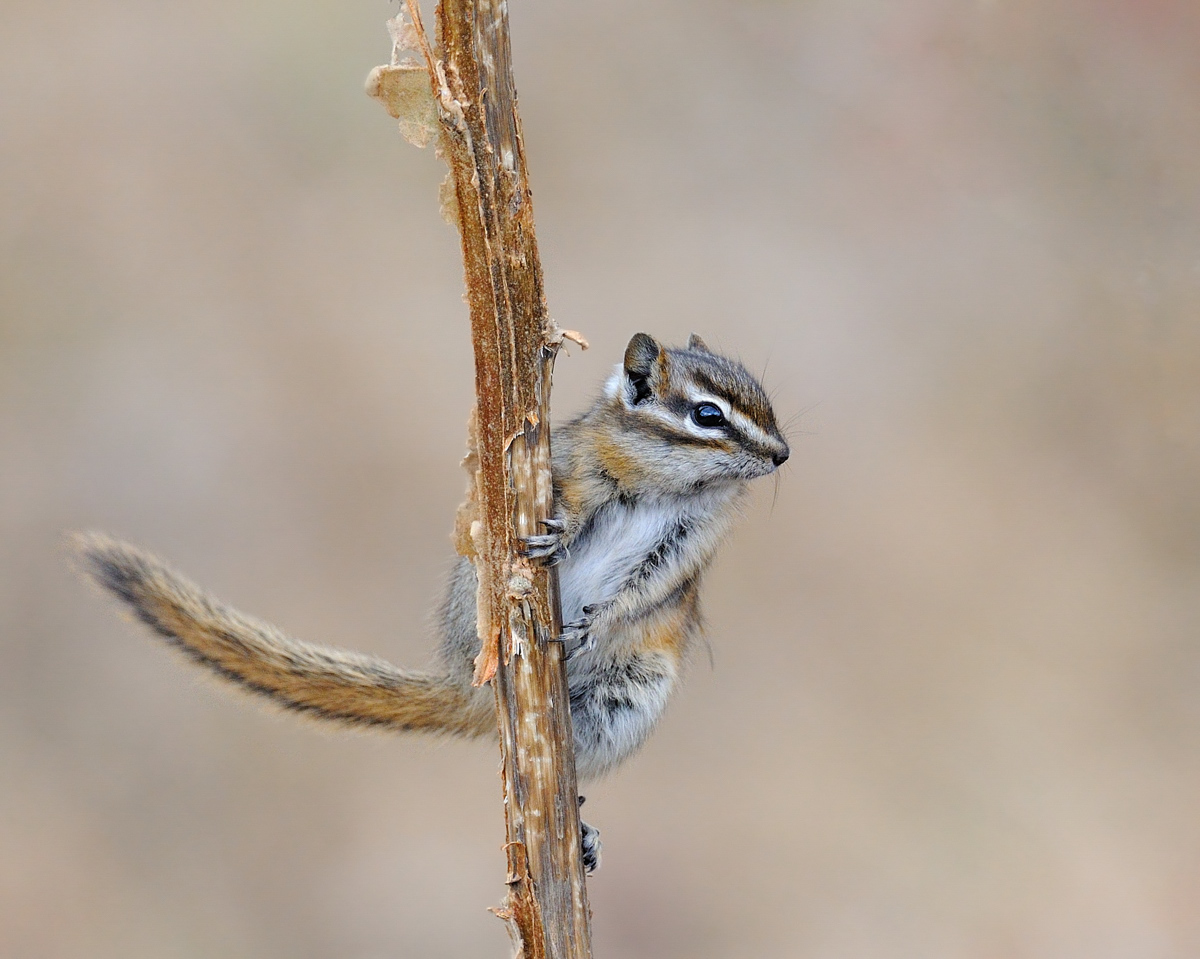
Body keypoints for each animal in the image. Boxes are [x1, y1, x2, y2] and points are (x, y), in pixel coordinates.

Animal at [74, 332, 789, 873]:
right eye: (707, 415)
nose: (783, 454)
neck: (665, 488)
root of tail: (466, 692)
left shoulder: (682, 547)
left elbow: (645, 588)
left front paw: (593, 624)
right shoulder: (575, 464)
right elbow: (565, 499)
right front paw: (558, 533)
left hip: (630, 694)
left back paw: (581, 831)